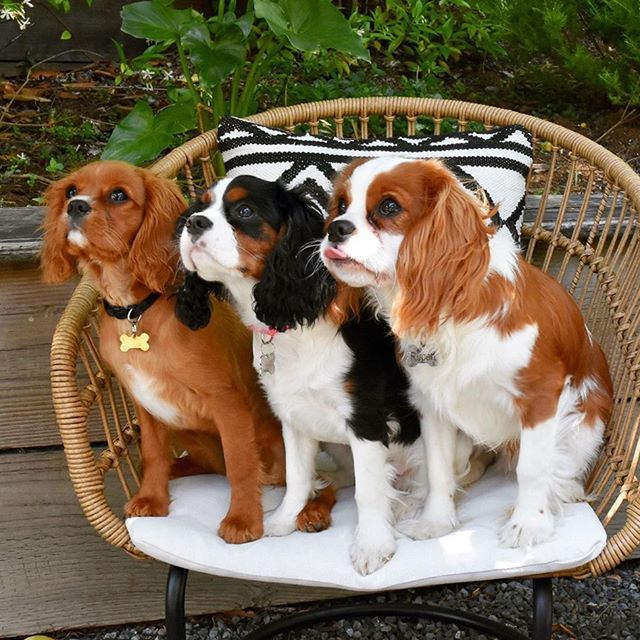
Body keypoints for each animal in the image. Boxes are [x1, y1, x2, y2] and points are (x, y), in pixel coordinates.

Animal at [42, 161, 336, 544]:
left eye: (119, 195)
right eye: (71, 190)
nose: (75, 206)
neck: (136, 311)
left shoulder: (227, 403)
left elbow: (242, 466)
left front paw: (243, 520)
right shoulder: (145, 403)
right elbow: (152, 455)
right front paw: (151, 498)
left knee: (319, 482)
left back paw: (313, 511)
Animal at [181, 175, 436, 576]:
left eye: (245, 210)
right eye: (200, 207)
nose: (193, 223)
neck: (293, 329)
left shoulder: (366, 421)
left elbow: (368, 491)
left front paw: (372, 544)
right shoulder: (293, 418)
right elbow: (297, 475)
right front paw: (284, 519)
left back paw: (405, 505)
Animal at [322, 158, 612, 548]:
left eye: (389, 207)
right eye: (340, 205)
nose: (335, 228)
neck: (451, 311)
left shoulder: (541, 397)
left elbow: (533, 468)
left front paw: (529, 523)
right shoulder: (432, 406)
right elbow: (438, 469)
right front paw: (436, 521)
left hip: (584, 426)